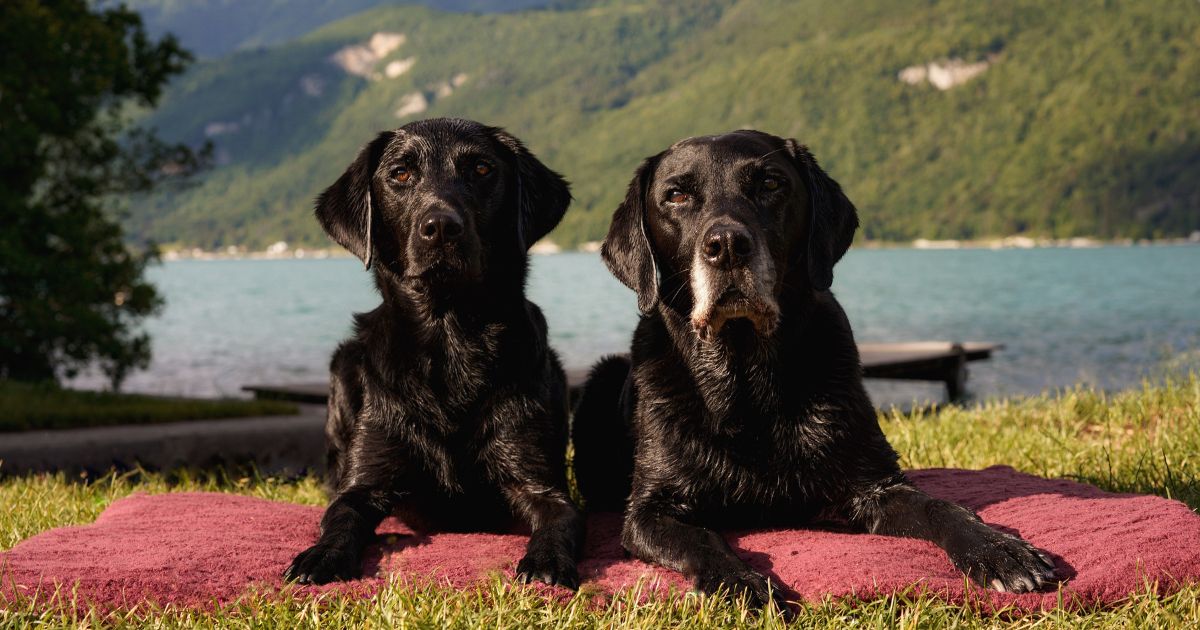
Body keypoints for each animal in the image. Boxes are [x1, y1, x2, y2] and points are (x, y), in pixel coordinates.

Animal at [282, 117, 580, 590]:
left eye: (481, 169)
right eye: (401, 174)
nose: (440, 226)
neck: (451, 338)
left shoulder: (539, 482)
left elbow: (559, 518)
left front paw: (547, 560)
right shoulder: (365, 483)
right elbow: (340, 516)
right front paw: (322, 555)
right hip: (344, 366)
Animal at [576, 131, 1056, 609]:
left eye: (770, 184)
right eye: (676, 195)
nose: (727, 246)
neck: (745, 379)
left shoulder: (876, 485)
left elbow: (940, 506)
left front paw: (998, 549)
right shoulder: (649, 512)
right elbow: (701, 539)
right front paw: (740, 582)